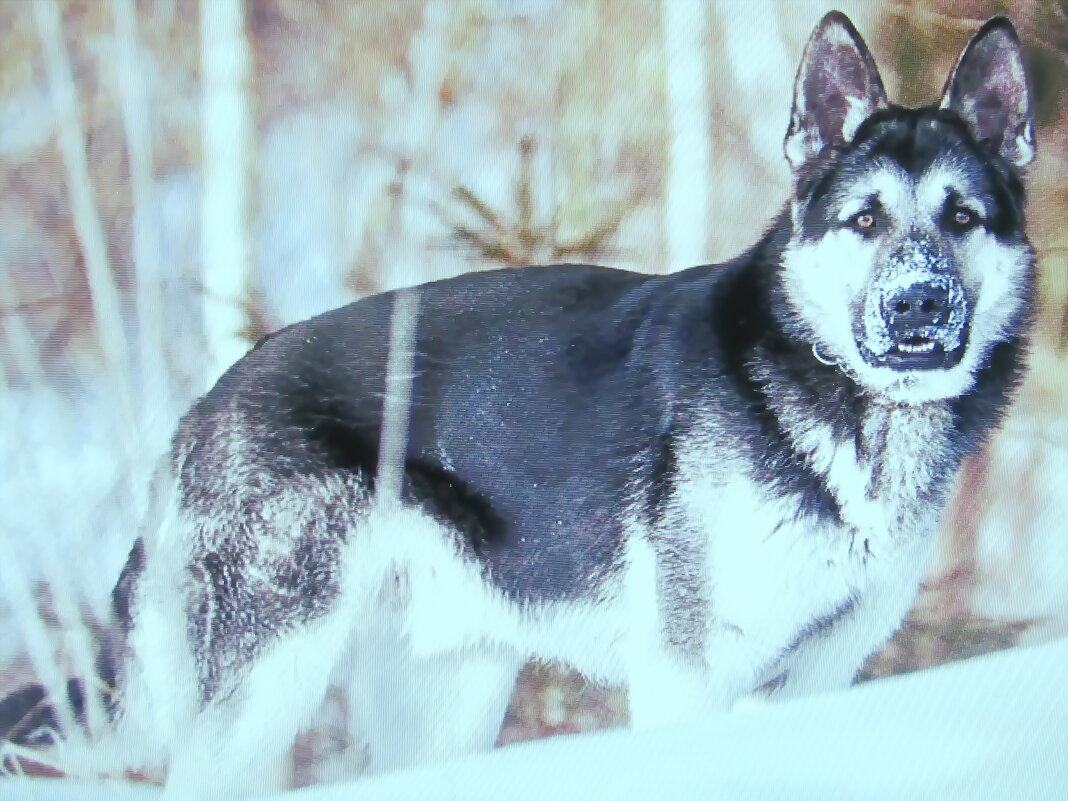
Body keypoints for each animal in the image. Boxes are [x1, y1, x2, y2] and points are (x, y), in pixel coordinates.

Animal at [0, 9, 1033, 798]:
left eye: (962, 218)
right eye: (865, 220)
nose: (919, 305)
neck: (843, 399)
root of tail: (205, 404)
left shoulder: (820, 677)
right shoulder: (690, 677)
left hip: (444, 704)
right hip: (267, 687)